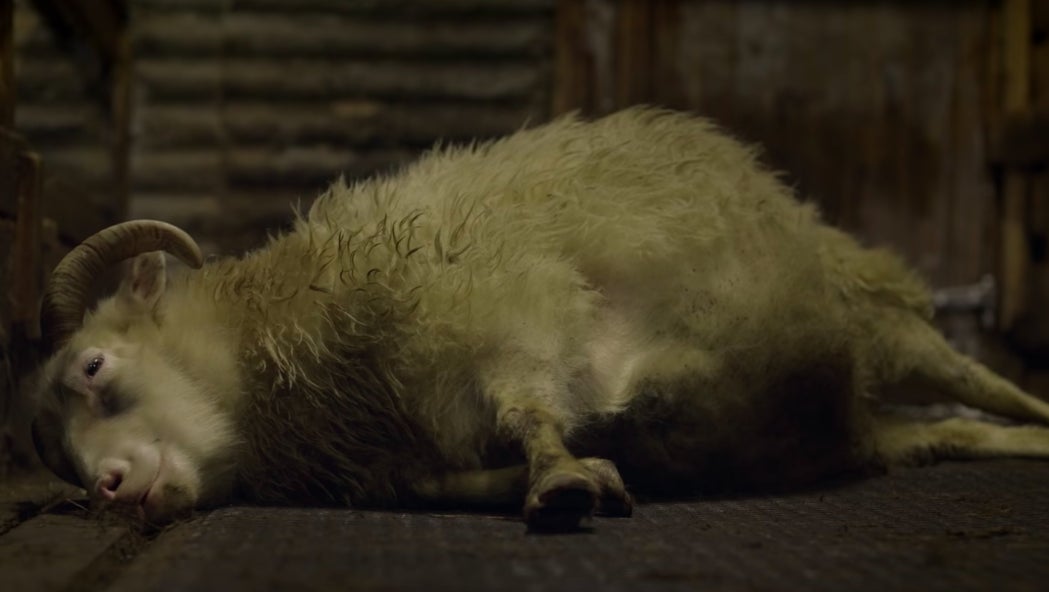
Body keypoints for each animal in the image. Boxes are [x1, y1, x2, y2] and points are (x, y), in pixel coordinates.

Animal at [30, 107, 1049, 530]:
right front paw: (594, 465)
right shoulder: (404, 457)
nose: (109, 489)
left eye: (93, 367)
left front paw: (561, 481)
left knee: (987, 387)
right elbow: (463, 477)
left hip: (884, 322)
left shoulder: (499, 322)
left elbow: (529, 410)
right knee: (960, 432)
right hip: (865, 417)